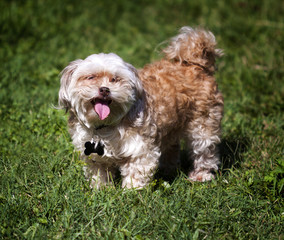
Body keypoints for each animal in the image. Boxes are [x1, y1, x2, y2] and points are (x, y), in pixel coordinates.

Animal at [58, 25, 224, 188]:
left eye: (115, 79)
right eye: (91, 77)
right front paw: (100, 190)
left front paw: (131, 193)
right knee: (172, 147)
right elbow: (99, 173)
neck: (105, 126)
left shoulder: (140, 149)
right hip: (170, 127)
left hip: (203, 125)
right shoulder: (93, 155)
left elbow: (135, 173)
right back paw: (168, 170)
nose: (104, 89)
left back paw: (201, 175)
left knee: (205, 150)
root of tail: (195, 64)